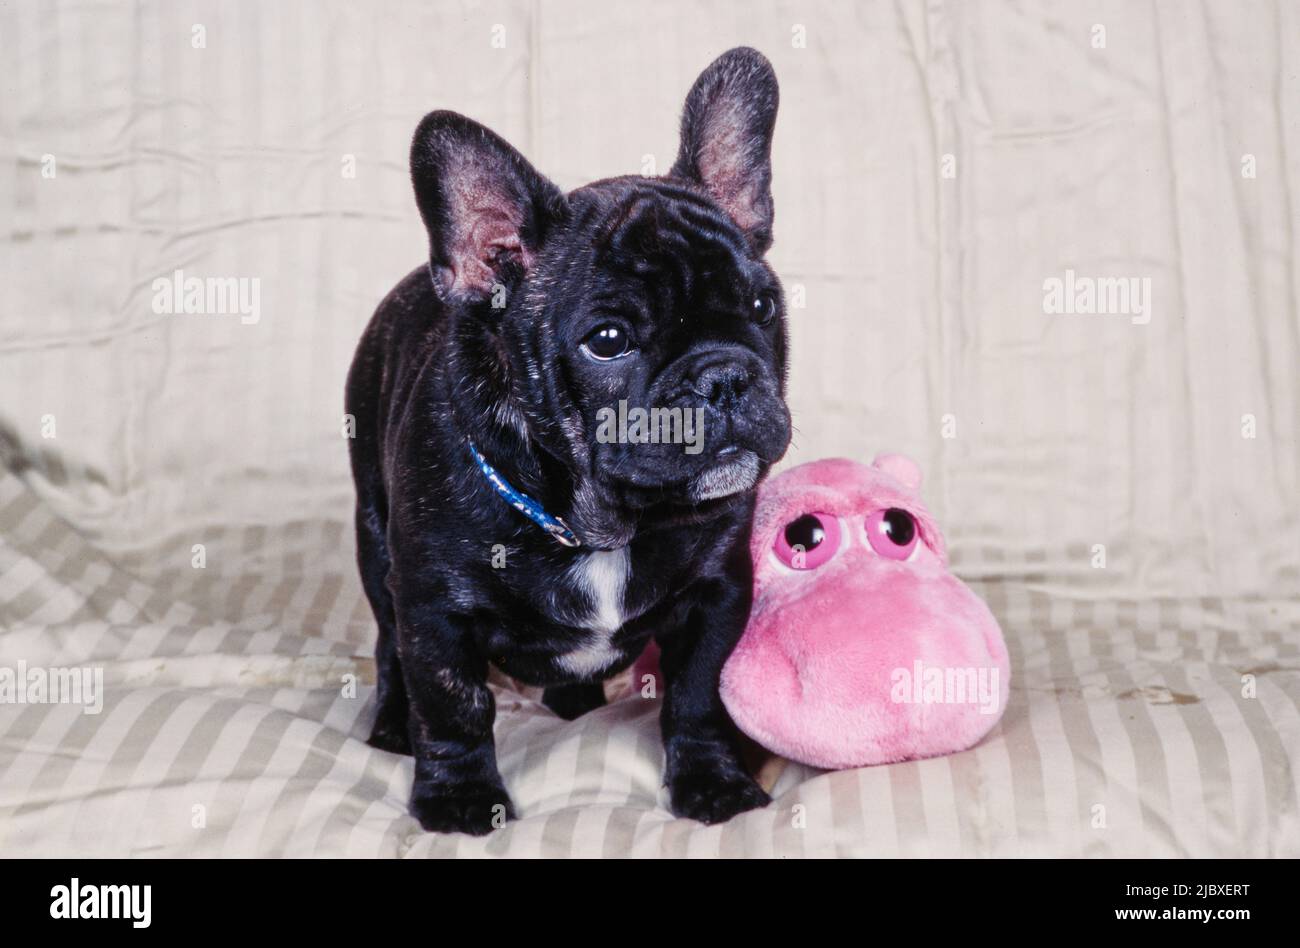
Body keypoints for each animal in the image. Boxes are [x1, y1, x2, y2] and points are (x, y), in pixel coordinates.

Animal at [348, 46, 790, 827]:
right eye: (607, 341)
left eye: (763, 307)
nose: (724, 376)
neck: (599, 528)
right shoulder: (433, 610)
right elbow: (453, 705)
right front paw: (461, 798)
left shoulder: (718, 595)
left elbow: (698, 698)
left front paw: (713, 782)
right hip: (373, 543)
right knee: (388, 648)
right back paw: (393, 724)